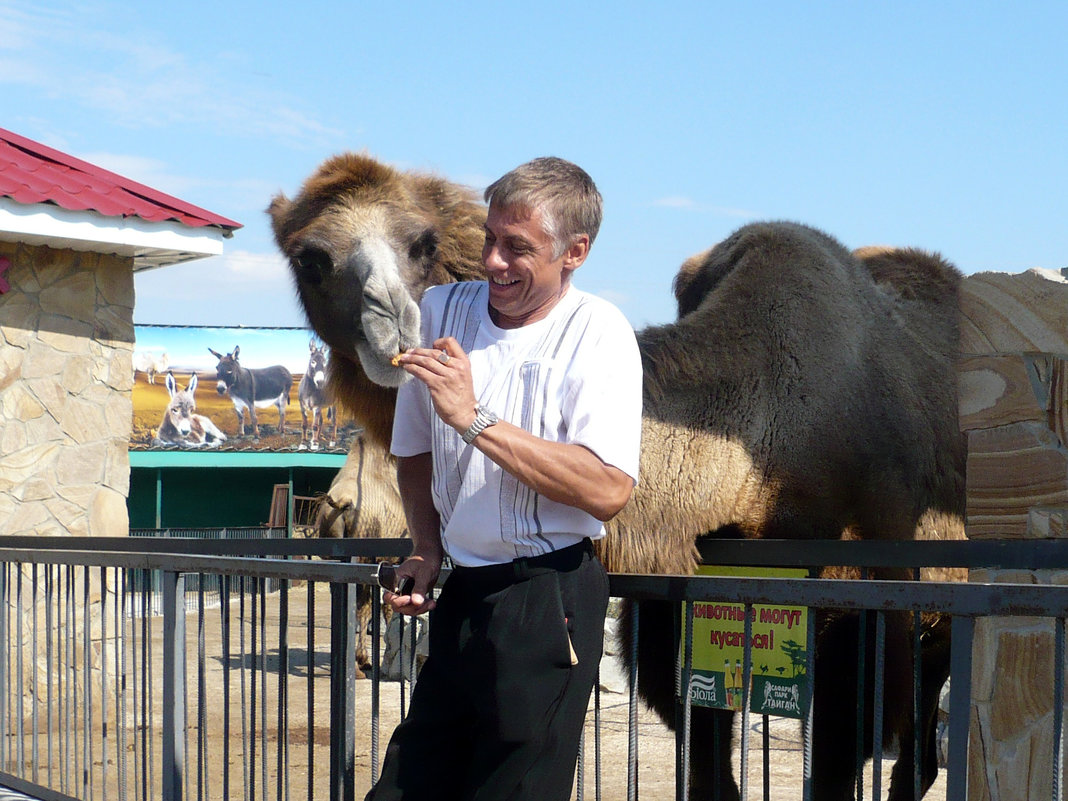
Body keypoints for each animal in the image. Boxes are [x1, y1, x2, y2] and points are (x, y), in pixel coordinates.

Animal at [269, 151, 969, 801]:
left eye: (423, 243)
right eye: (310, 258)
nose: (393, 322)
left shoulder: (862, 601)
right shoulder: (674, 618)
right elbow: (706, 759)